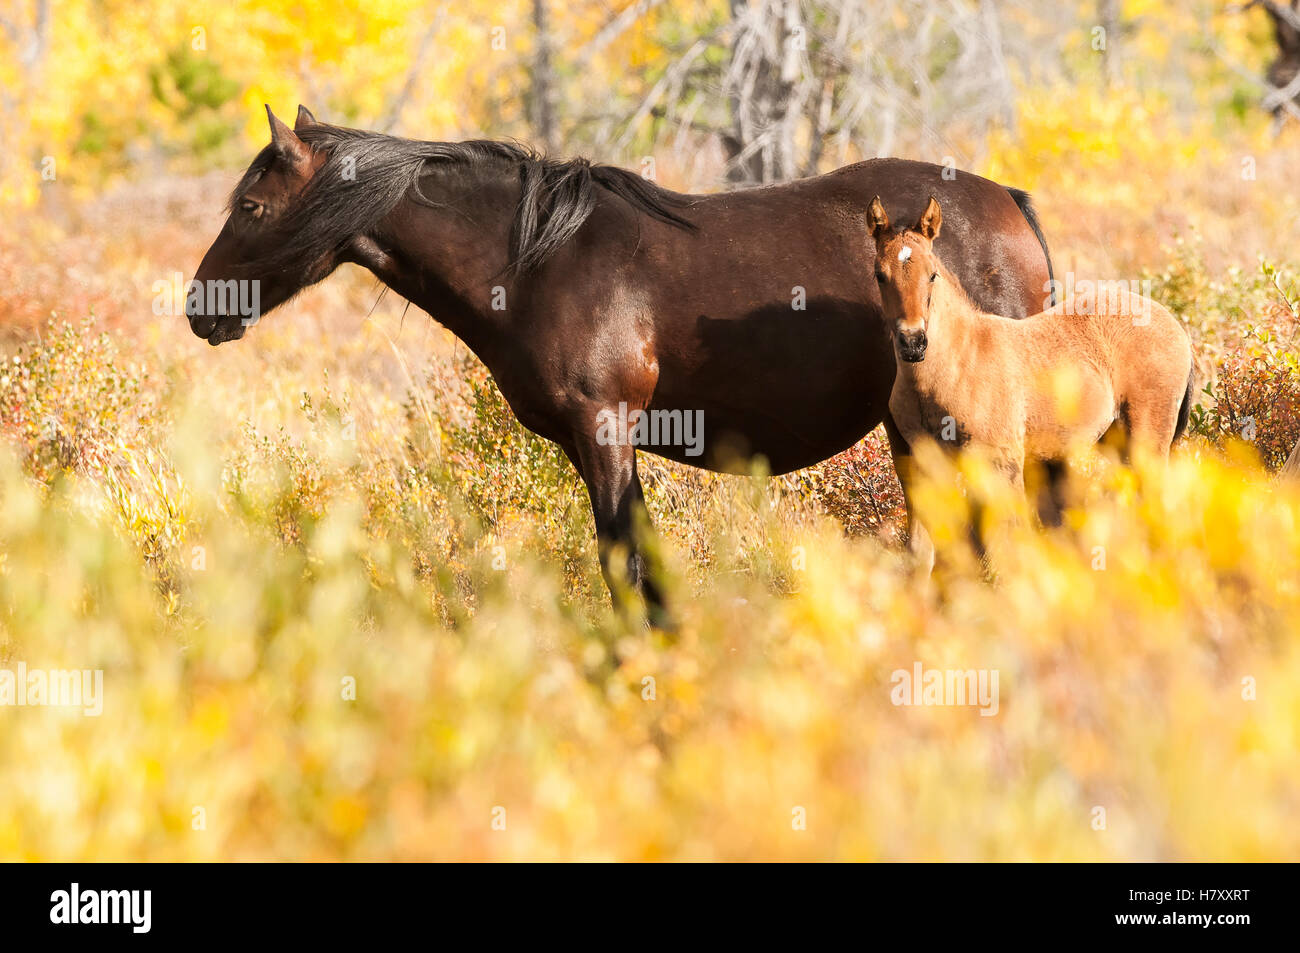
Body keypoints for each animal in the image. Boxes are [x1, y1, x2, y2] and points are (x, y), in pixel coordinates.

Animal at [188, 105, 1050, 624]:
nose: (201, 308)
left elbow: (623, 566)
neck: (539, 259)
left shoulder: (604, 430)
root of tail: (1008, 203)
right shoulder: (590, 443)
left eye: (252, 208)